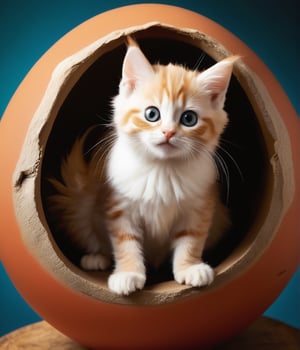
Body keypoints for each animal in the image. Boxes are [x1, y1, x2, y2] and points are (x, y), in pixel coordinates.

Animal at [48, 37, 237, 296]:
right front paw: (128, 274)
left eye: (189, 119)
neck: (162, 169)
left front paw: (190, 268)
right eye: (152, 114)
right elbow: (126, 244)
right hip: (79, 205)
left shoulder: (199, 207)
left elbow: (190, 240)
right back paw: (96, 258)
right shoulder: (119, 207)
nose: (168, 132)